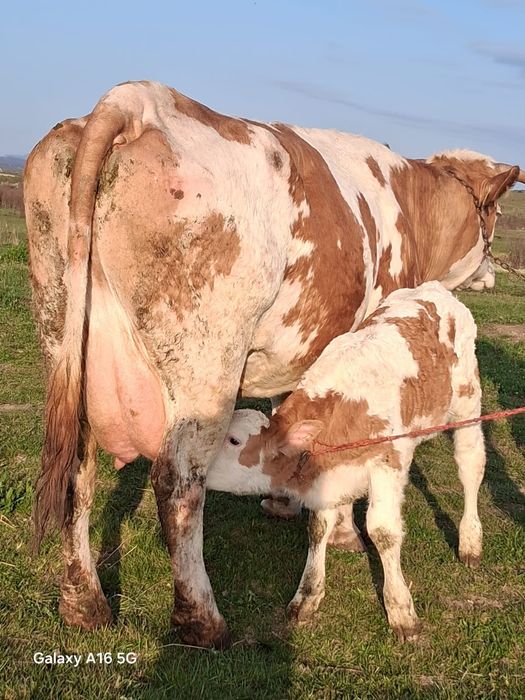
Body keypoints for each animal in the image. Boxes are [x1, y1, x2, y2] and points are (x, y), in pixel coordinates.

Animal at [209, 282, 485, 641]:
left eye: (233, 440)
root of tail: (435, 288)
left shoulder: (388, 462)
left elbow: (383, 531)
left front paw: (400, 610)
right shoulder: (326, 474)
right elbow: (317, 527)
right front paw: (307, 597)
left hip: (468, 402)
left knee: (470, 465)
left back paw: (470, 541)